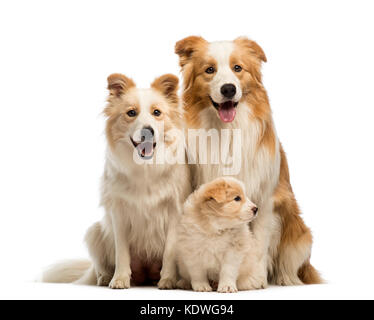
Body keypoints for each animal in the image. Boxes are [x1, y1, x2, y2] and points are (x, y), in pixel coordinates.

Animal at [42, 74, 191, 288]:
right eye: (131, 113)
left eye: (157, 112)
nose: (148, 131)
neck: (145, 167)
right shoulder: (118, 212)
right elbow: (121, 252)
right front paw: (119, 279)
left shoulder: (175, 210)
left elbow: (169, 251)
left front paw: (168, 280)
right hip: (95, 231)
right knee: (100, 266)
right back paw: (105, 278)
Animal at [175, 36, 322, 286]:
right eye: (210, 70)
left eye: (238, 68)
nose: (228, 89)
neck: (227, 131)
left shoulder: (265, 200)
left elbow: (259, 244)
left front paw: (255, 279)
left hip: (298, 230)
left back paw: (283, 278)